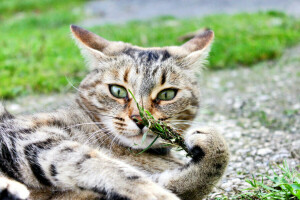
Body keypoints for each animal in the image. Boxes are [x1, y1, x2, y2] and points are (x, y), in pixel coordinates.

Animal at [0, 25, 230, 200]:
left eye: (167, 94)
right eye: (117, 91)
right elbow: (86, 159)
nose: (140, 120)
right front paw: (153, 193)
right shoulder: (20, 135)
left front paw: (214, 143)